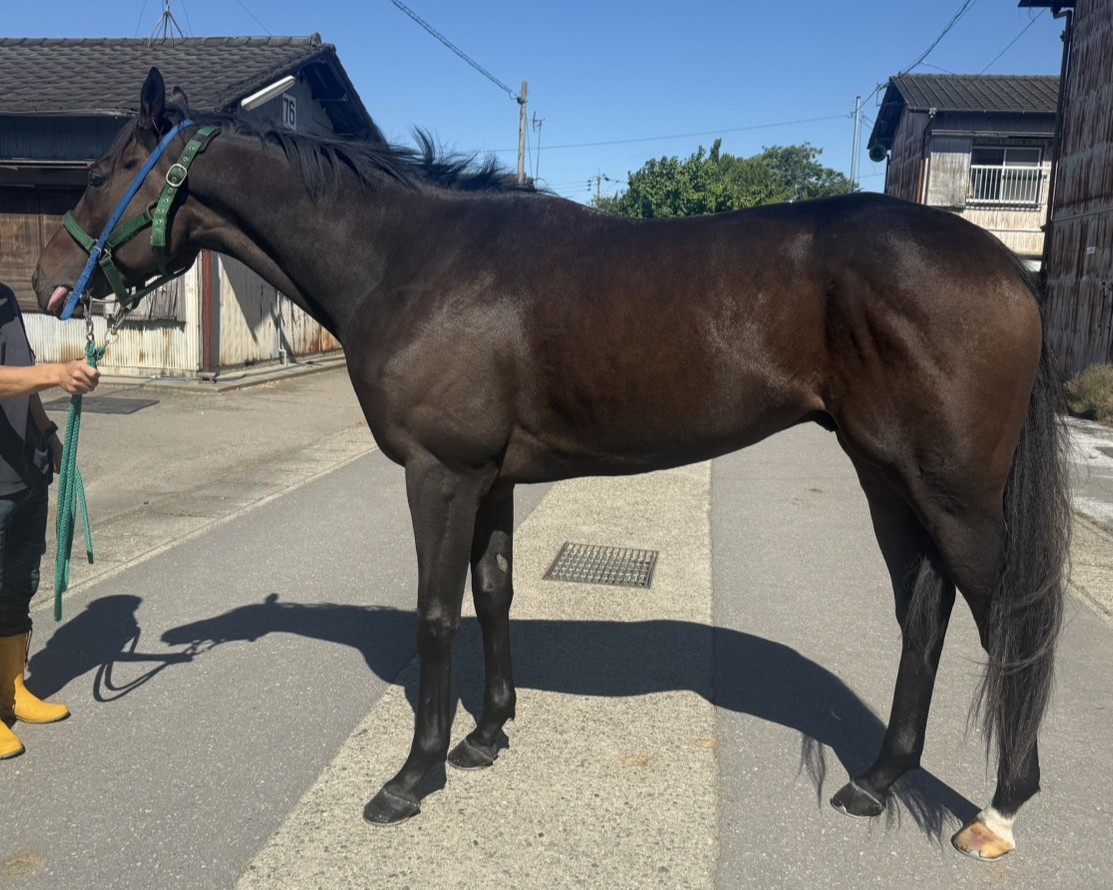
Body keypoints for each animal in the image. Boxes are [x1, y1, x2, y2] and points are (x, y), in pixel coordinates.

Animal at [33, 68, 1070, 860]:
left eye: (101, 171)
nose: (49, 287)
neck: (414, 257)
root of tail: (1006, 271)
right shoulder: (489, 479)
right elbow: (494, 594)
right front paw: (487, 735)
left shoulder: (439, 474)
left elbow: (437, 616)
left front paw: (412, 776)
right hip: (884, 474)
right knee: (923, 612)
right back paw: (877, 779)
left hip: (952, 493)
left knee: (1005, 620)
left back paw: (998, 810)